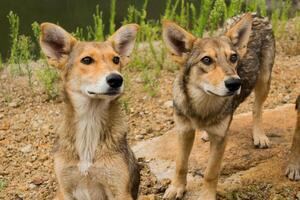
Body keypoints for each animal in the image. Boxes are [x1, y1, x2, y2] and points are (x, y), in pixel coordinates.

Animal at [39, 22, 141, 199]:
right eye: (87, 60)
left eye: (116, 59)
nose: (116, 79)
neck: (89, 123)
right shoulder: (66, 189)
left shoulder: (119, 189)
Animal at [162, 12, 274, 200]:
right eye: (206, 60)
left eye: (233, 58)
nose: (235, 83)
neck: (203, 106)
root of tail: (256, 14)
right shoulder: (184, 131)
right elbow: (180, 164)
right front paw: (177, 188)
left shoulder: (221, 139)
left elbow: (211, 172)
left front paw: (207, 196)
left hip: (264, 81)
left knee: (257, 109)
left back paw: (259, 135)